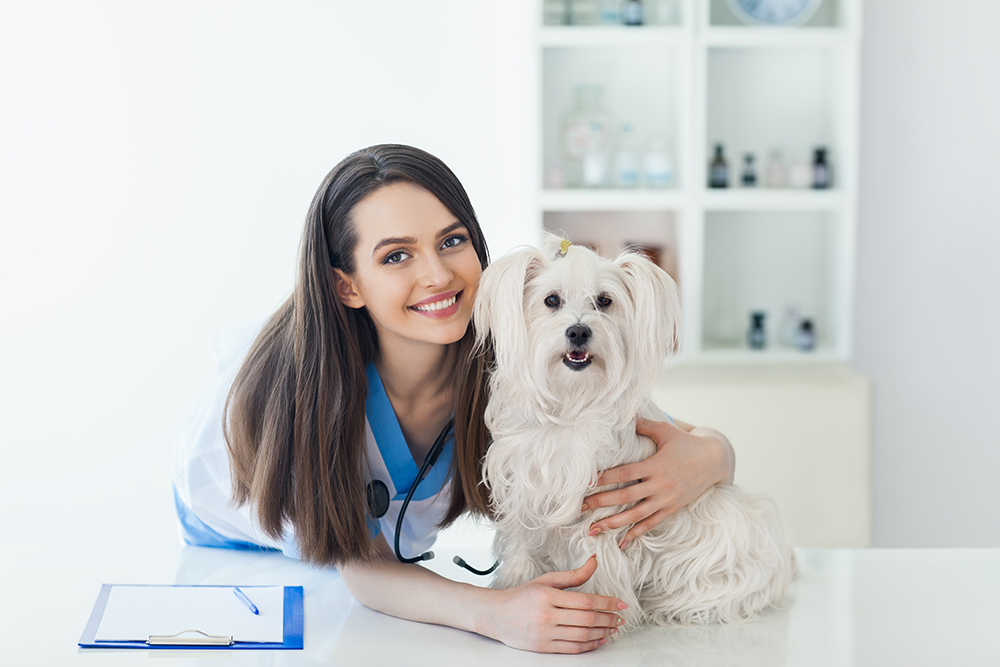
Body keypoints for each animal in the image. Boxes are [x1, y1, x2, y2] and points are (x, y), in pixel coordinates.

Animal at [476, 236, 796, 632]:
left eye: (604, 301)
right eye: (551, 300)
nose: (578, 331)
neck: (570, 404)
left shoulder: (603, 514)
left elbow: (597, 562)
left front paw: (601, 616)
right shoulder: (525, 494)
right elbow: (521, 549)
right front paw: (514, 591)